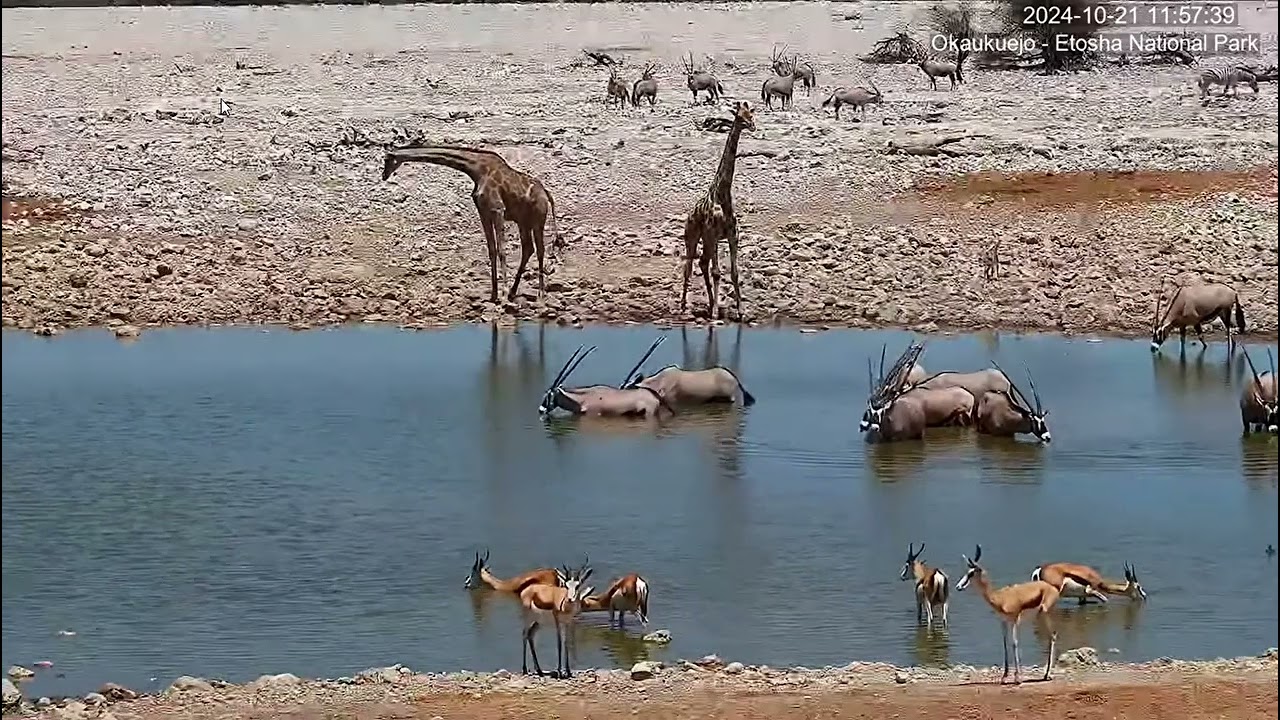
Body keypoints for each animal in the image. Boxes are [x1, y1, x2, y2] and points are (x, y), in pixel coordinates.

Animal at [382, 145, 563, 303]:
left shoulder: (498, 209)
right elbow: (492, 251)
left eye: (387, 159)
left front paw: (503, 294)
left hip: (538, 219)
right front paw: (494, 295)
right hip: (523, 221)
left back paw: (539, 294)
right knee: (528, 248)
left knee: (540, 250)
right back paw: (513, 292)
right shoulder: (484, 211)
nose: (383, 175)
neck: (476, 170)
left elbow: (502, 251)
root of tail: (547, 193)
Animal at [680, 101, 755, 320]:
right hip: (692, 237)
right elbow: (717, 272)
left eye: (751, 114)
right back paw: (685, 305)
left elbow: (734, 273)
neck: (722, 194)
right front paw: (714, 313)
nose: (751, 125)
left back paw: (712, 302)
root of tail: (689, 214)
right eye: (738, 115)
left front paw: (740, 310)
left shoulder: (732, 235)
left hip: (706, 240)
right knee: (689, 266)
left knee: (703, 263)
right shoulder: (713, 234)